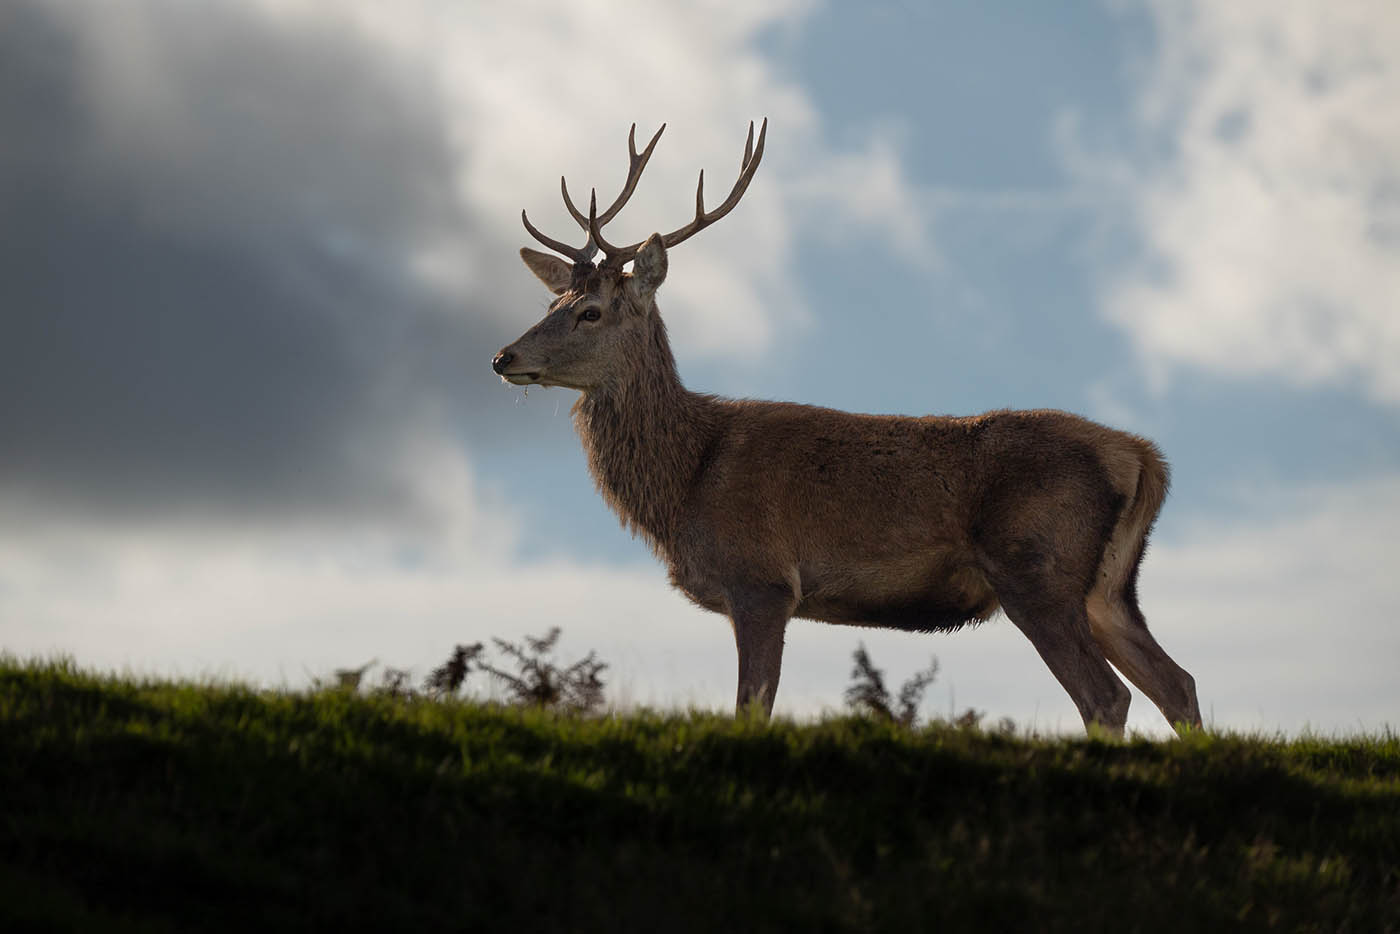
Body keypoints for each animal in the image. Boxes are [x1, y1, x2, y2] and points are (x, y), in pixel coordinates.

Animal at [492, 120, 1204, 733]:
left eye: (590, 311)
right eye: (552, 301)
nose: (504, 357)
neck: (687, 481)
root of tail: (1142, 457)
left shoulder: (762, 580)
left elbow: (752, 708)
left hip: (1037, 565)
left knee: (1106, 697)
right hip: (1108, 586)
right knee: (1177, 683)